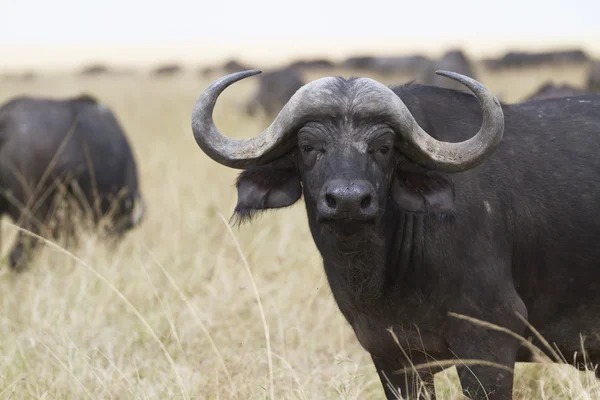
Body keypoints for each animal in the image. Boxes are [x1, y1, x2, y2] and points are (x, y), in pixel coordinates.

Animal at [190, 70, 600, 398]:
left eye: (383, 147)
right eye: (309, 147)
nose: (348, 201)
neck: (386, 278)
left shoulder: (489, 344)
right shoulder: (393, 357)